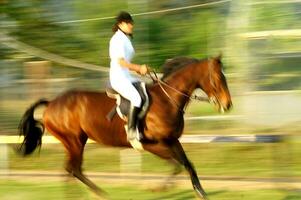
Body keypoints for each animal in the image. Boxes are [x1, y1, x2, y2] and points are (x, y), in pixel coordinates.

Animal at [17, 55, 231, 200]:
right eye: (218, 78)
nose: (228, 104)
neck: (167, 99)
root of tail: (52, 103)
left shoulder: (172, 141)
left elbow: (187, 164)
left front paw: (200, 192)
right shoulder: (152, 144)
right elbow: (177, 165)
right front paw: (158, 189)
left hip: (75, 141)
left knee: (69, 170)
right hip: (74, 141)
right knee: (75, 169)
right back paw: (101, 193)